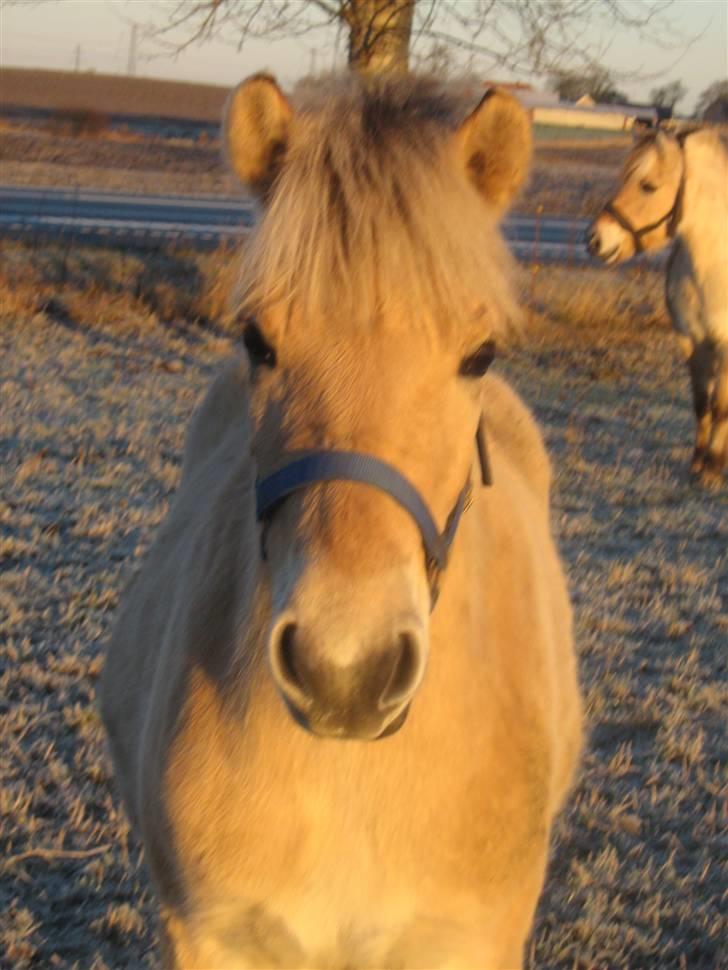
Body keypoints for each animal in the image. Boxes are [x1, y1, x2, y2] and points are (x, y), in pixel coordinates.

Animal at [588, 130, 728, 484]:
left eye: (647, 185)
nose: (594, 240)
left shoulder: (726, 345)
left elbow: (721, 406)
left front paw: (713, 470)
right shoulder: (691, 340)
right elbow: (701, 403)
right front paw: (698, 463)